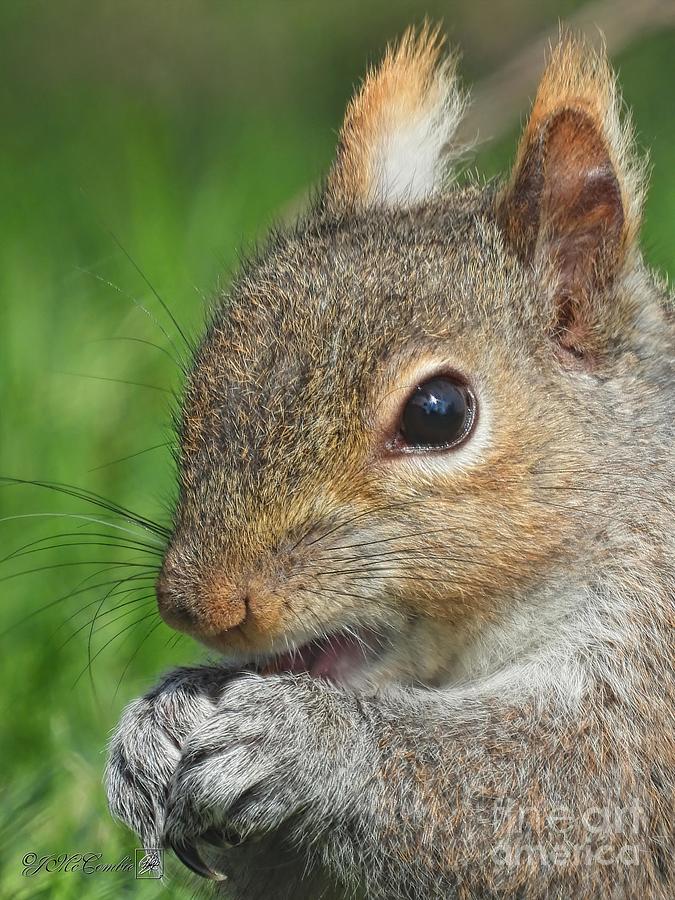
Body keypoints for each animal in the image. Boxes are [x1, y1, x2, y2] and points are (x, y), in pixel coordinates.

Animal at [103, 24, 672, 896]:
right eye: (206, 370)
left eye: (437, 414)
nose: (199, 607)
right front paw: (158, 719)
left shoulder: (650, 693)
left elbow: (575, 793)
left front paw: (308, 740)